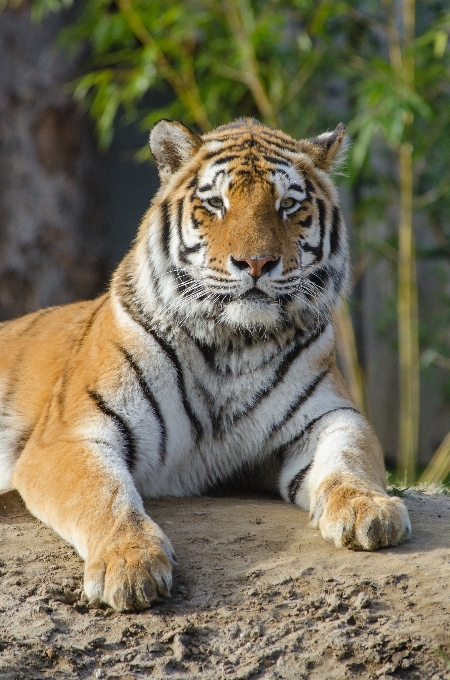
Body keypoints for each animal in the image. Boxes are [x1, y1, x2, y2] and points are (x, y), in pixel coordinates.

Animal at [0, 117, 412, 612]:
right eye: (216, 203)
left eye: (288, 205)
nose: (256, 262)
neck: (231, 345)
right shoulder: (67, 436)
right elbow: (103, 495)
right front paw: (128, 563)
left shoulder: (330, 416)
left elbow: (350, 458)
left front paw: (369, 509)